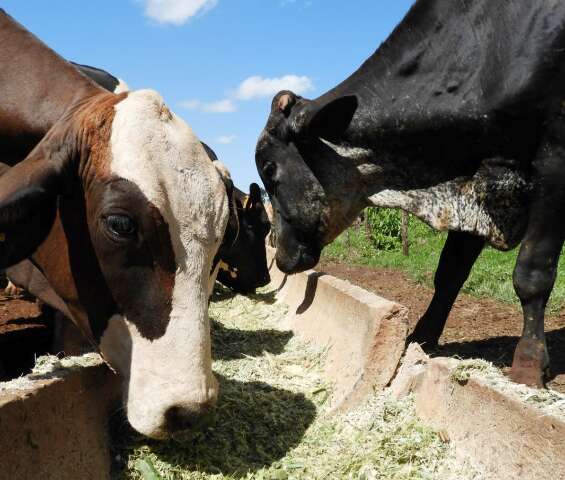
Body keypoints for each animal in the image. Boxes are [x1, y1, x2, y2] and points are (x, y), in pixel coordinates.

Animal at [256, 0, 565, 388]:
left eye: (270, 171)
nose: (279, 254)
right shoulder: (478, 182)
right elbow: (449, 272)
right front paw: (423, 336)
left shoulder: (555, 160)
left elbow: (532, 273)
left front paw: (528, 364)